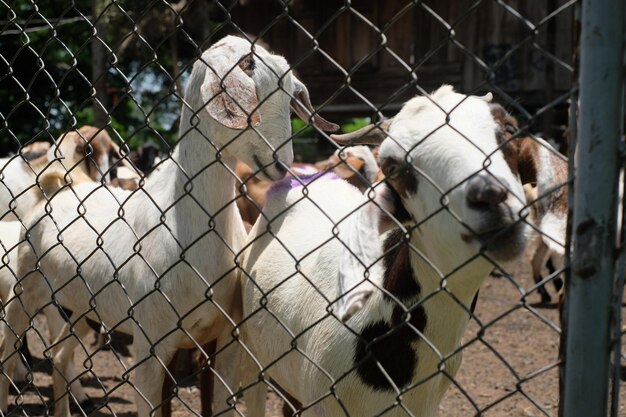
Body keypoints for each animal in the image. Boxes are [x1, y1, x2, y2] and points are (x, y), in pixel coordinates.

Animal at [0, 35, 336, 416]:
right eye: (250, 90)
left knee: (57, 355)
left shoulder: (226, 339)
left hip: (79, 308)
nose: (283, 165)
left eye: (291, 96)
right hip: (24, 290)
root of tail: (65, 188)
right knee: (8, 350)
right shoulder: (151, 343)